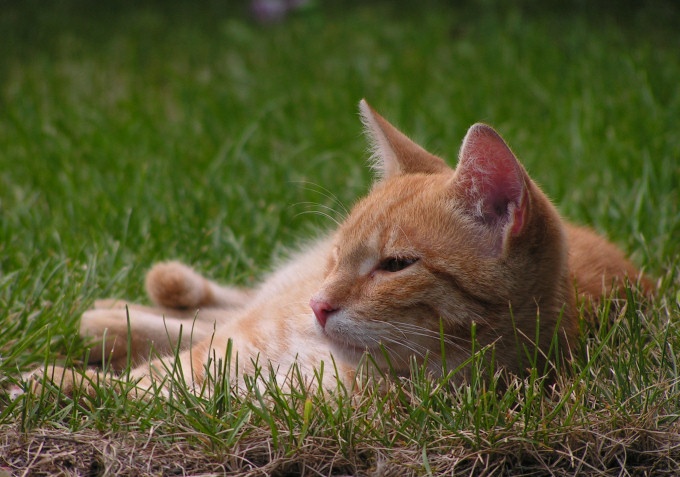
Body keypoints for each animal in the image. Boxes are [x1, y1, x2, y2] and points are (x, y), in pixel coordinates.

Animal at [10, 100, 652, 398]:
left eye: (395, 266)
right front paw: (71, 379)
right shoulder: (251, 338)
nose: (321, 306)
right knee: (228, 307)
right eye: (339, 255)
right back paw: (134, 305)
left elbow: (158, 390)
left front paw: (62, 384)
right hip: (270, 300)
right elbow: (162, 377)